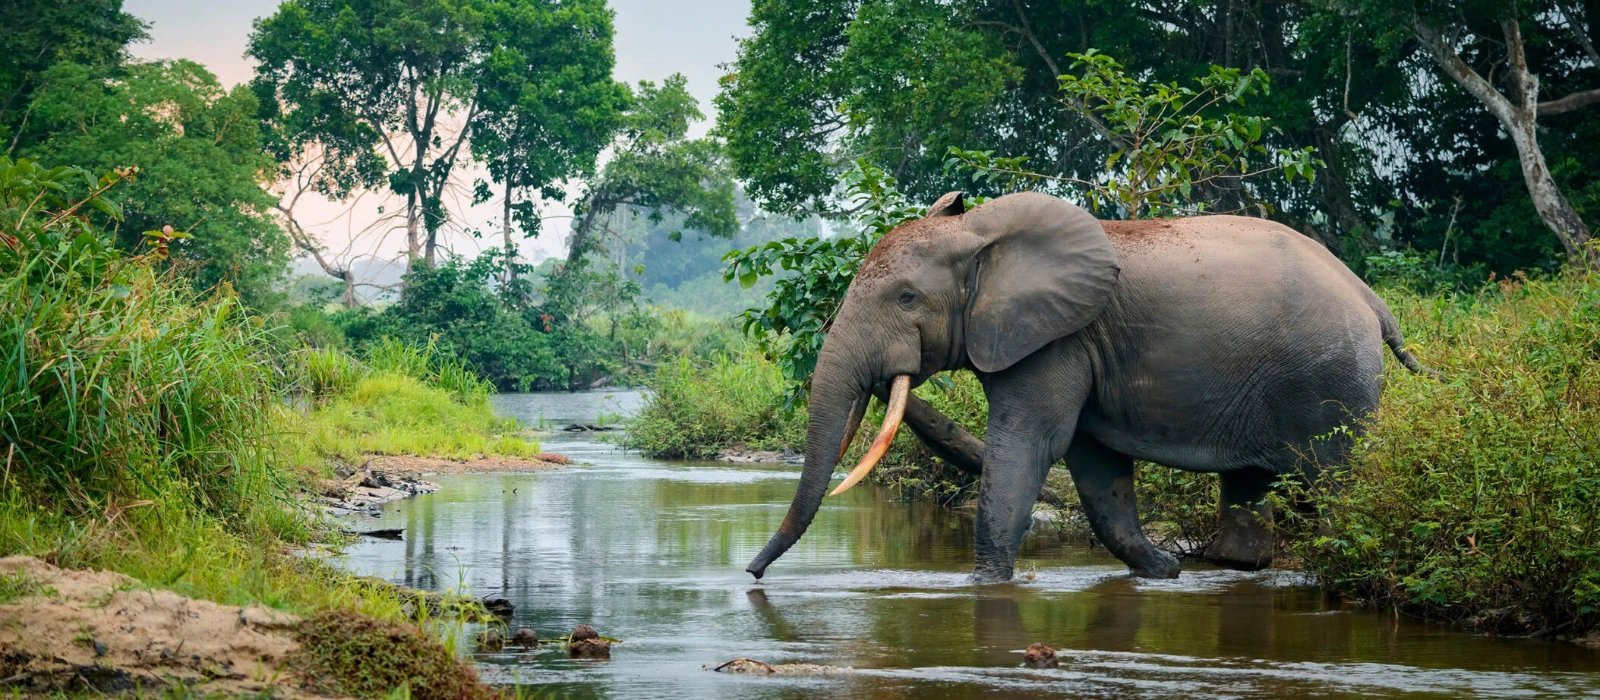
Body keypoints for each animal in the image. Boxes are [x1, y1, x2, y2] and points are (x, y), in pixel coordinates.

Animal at [746, 190, 1432, 582]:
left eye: (907, 298)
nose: (751, 576)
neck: (983, 236)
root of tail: (1371, 297)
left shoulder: (1056, 337)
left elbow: (1031, 444)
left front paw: (982, 587)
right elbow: (1095, 464)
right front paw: (1164, 573)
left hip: (1329, 377)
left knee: (1337, 481)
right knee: (1248, 485)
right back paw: (1231, 569)